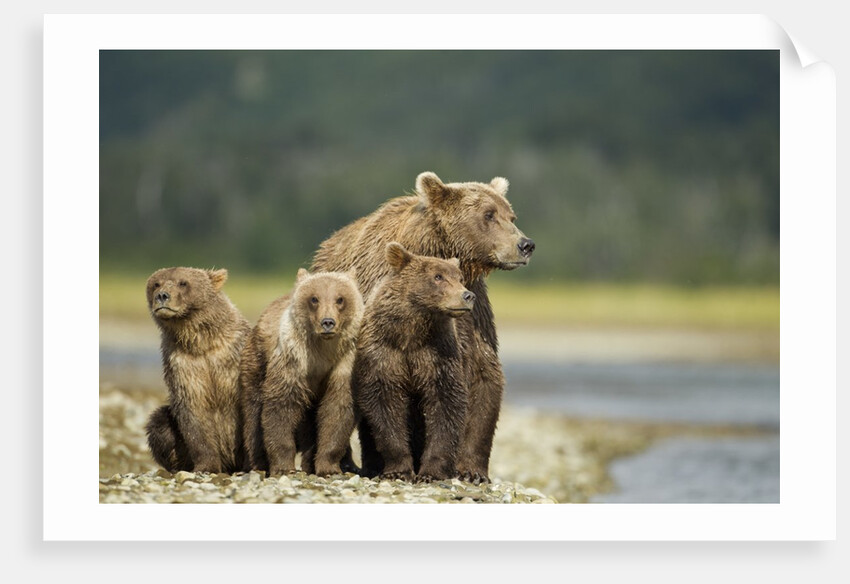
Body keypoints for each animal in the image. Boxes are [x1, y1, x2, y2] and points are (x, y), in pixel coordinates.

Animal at [143, 266, 251, 474]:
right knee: (159, 423)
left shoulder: (234, 358)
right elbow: (193, 412)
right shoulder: (183, 364)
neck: (201, 343)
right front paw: (206, 466)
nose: (162, 295)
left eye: (183, 282)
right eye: (156, 283)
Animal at [240, 269, 363, 477]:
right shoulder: (294, 357)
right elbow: (281, 404)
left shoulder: (345, 360)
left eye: (340, 299)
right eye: (314, 298)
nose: (328, 322)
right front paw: (283, 466)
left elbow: (338, 408)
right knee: (254, 411)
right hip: (257, 360)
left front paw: (329, 467)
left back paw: (308, 463)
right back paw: (257, 463)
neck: (323, 350)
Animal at [353, 243, 475, 482]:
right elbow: (384, 404)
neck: (412, 331)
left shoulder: (438, 354)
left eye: (460, 277)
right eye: (438, 276)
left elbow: (446, 404)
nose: (468, 295)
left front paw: (431, 473)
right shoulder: (384, 352)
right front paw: (398, 470)